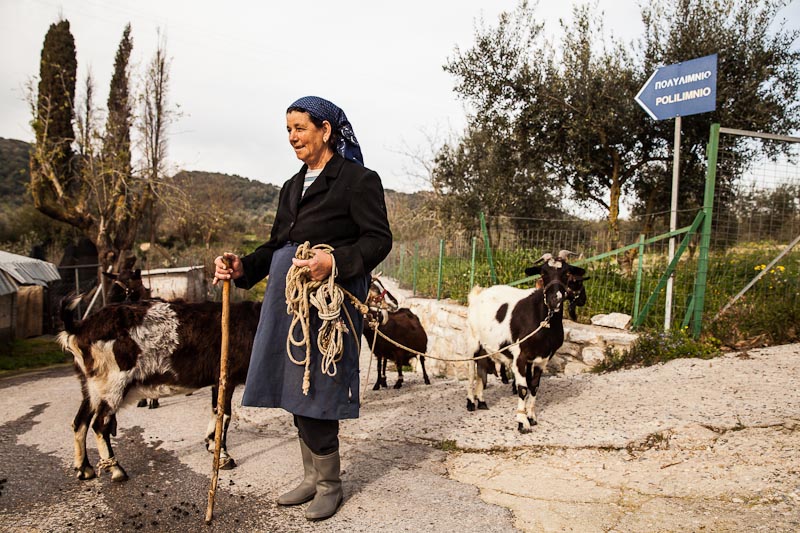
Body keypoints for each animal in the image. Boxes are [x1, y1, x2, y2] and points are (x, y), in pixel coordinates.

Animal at [57, 296, 260, 481]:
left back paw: (84, 469)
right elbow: (224, 415)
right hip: (113, 383)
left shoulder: (216, 383)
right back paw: (117, 470)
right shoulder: (226, 378)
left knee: (80, 422)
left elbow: (215, 411)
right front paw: (224, 457)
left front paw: (211, 445)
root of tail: (78, 329)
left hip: (91, 385)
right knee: (100, 424)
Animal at [465, 252, 586, 433]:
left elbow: (534, 386)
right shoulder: (520, 356)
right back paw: (471, 402)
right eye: (543, 273)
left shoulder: (543, 359)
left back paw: (481, 401)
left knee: (482, 369)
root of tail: (478, 293)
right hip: (473, 341)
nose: (554, 300)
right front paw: (522, 422)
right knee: (472, 372)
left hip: (487, 347)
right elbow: (522, 389)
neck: (543, 321)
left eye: (567, 273)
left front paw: (531, 416)